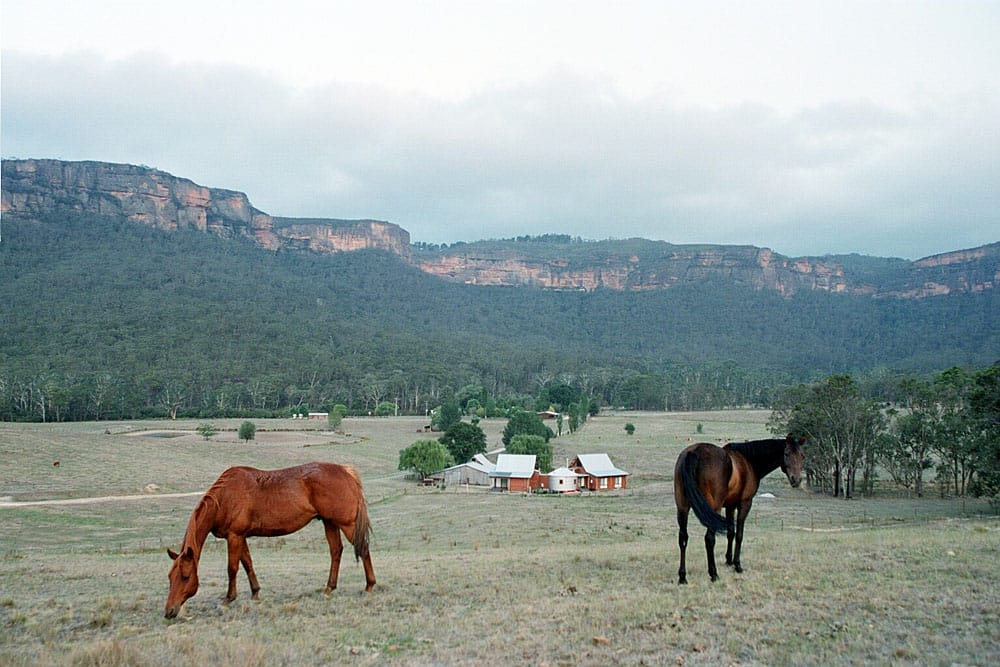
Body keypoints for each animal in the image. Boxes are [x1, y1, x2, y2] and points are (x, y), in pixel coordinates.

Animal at [164, 462, 376, 620]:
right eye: (170, 577)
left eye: (185, 577)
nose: (169, 612)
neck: (225, 497)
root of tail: (346, 471)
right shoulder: (240, 537)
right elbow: (248, 564)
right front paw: (255, 593)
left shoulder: (234, 536)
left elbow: (232, 568)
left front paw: (228, 599)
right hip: (329, 522)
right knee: (336, 551)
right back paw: (329, 588)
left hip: (346, 524)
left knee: (363, 549)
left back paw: (369, 586)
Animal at [672, 434, 804, 584]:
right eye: (786, 454)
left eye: (802, 455)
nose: (796, 480)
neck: (749, 461)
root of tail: (694, 452)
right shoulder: (745, 503)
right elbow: (739, 534)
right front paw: (737, 565)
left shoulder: (730, 506)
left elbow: (731, 533)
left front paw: (728, 561)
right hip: (713, 508)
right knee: (709, 539)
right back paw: (713, 574)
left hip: (682, 507)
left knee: (683, 538)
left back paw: (682, 577)